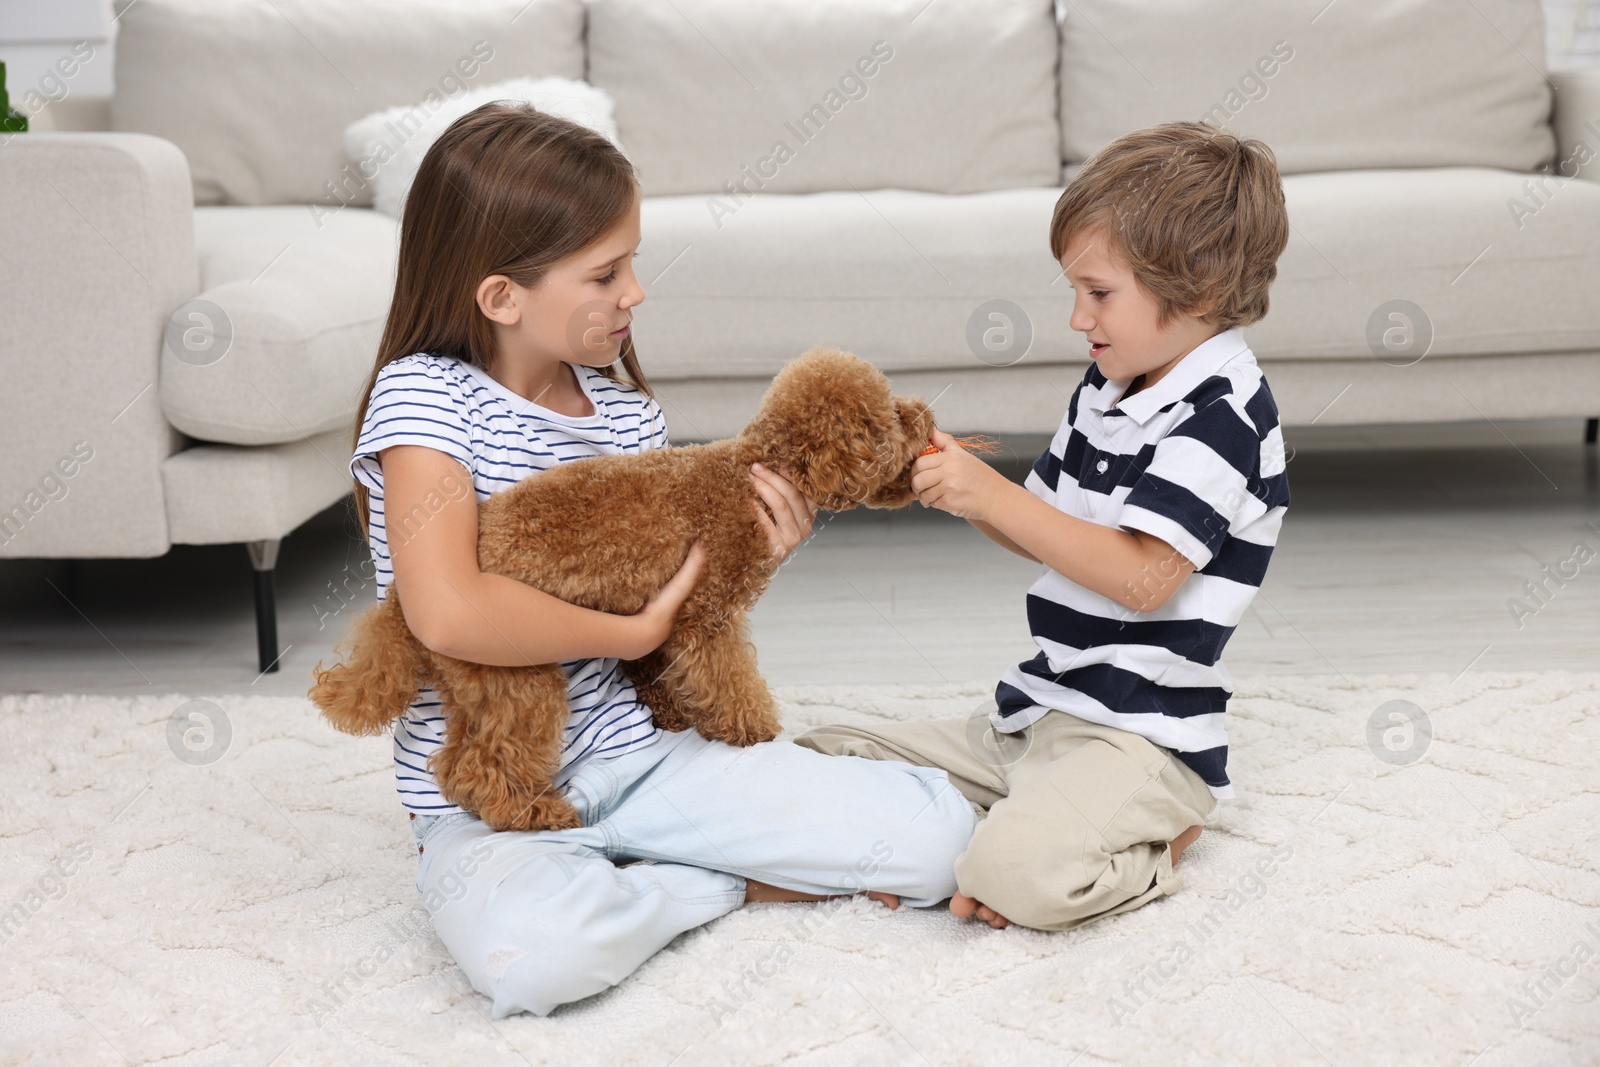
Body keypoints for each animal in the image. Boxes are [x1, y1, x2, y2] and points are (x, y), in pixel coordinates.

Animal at [312, 350, 934, 831]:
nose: (925, 414)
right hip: (519, 674)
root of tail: (401, 604)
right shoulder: (705, 615)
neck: (752, 473)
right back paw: (535, 815)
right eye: (888, 418)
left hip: (472, 682)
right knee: (486, 762)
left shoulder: (660, 625)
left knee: (454, 762)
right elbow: (728, 678)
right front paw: (752, 730)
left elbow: (660, 672)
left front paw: (676, 718)